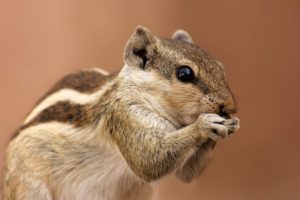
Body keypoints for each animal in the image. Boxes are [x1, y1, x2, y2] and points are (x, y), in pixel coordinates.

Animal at [2, 26, 239, 200]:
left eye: (221, 68)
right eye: (184, 73)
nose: (230, 107)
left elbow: (185, 174)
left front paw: (229, 124)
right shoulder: (124, 116)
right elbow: (149, 161)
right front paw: (204, 125)